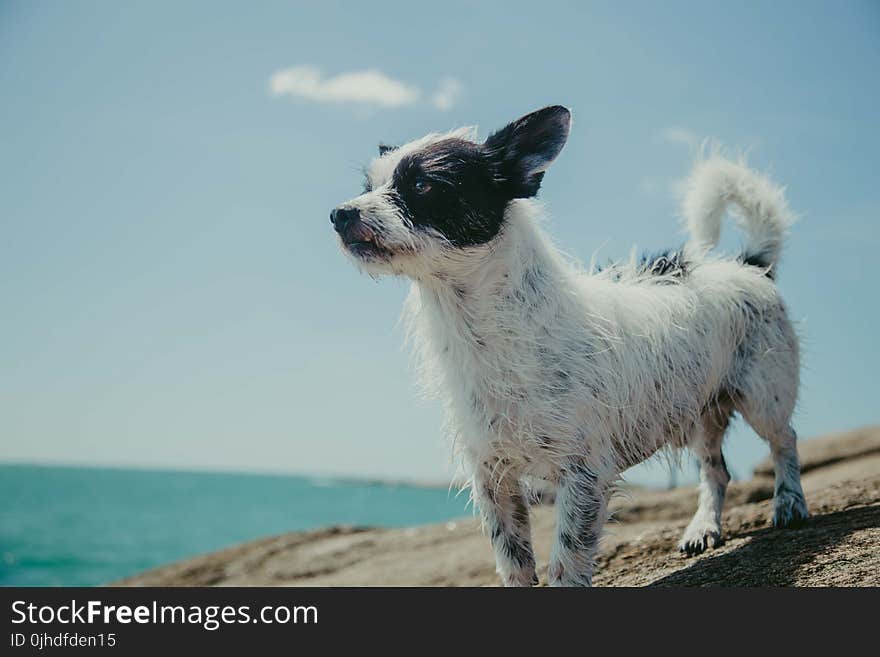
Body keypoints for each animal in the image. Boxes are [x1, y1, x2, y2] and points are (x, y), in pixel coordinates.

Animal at [332, 106, 812, 584]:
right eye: (368, 187)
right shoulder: (493, 478)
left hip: (763, 395)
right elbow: (514, 561)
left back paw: (789, 503)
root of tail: (748, 264)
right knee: (716, 469)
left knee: (784, 441)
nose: (339, 213)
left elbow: (566, 560)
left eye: (423, 185)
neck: (481, 327)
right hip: (699, 410)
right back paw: (703, 527)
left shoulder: (583, 476)